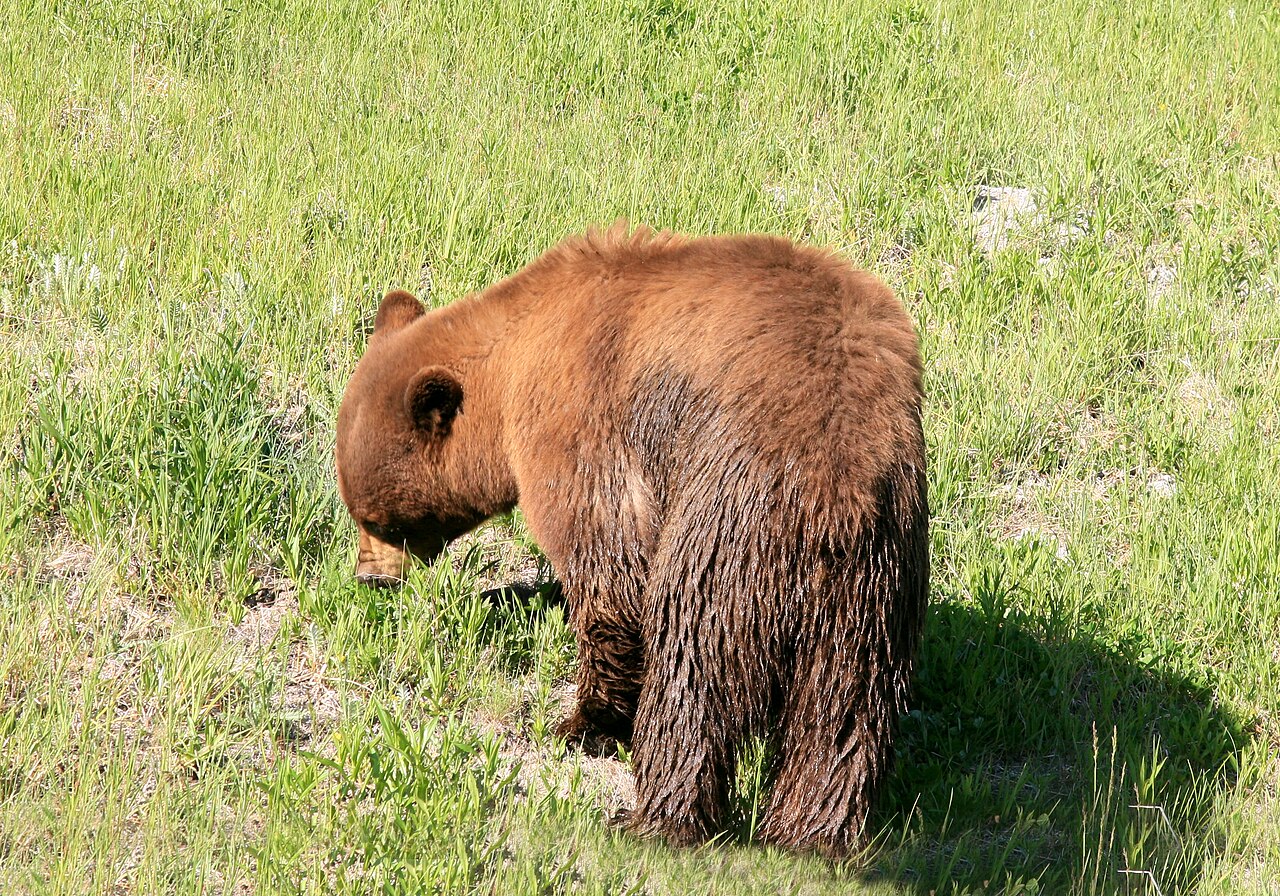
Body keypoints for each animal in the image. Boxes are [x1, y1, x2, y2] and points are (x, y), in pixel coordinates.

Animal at [335, 224, 928, 857]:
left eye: (380, 521)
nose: (370, 577)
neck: (512, 360)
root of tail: (838, 493)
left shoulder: (579, 416)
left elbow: (609, 569)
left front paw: (586, 722)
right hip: (875, 586)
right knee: (843, 714)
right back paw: (811, 836)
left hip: (727, 530)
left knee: (691, 668)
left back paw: (654, 816)